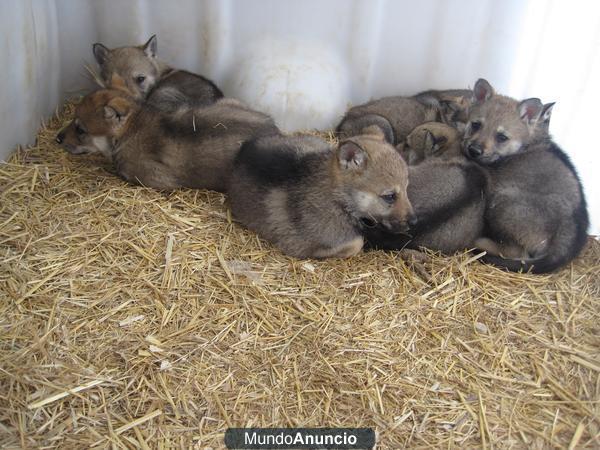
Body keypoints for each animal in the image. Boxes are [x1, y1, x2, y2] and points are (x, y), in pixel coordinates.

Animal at [227, 128, 414, 258]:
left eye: (407, 187)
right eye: (389, 196)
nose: (414, 221)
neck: (337, 200)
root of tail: (243, 149)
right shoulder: (301, 245)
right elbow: (356, 243)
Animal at [464, 78, 584, 272]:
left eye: (502, 137)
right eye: (476, 124)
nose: (474, 150)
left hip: (502, 202)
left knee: (516, 252)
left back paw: (479, 242)